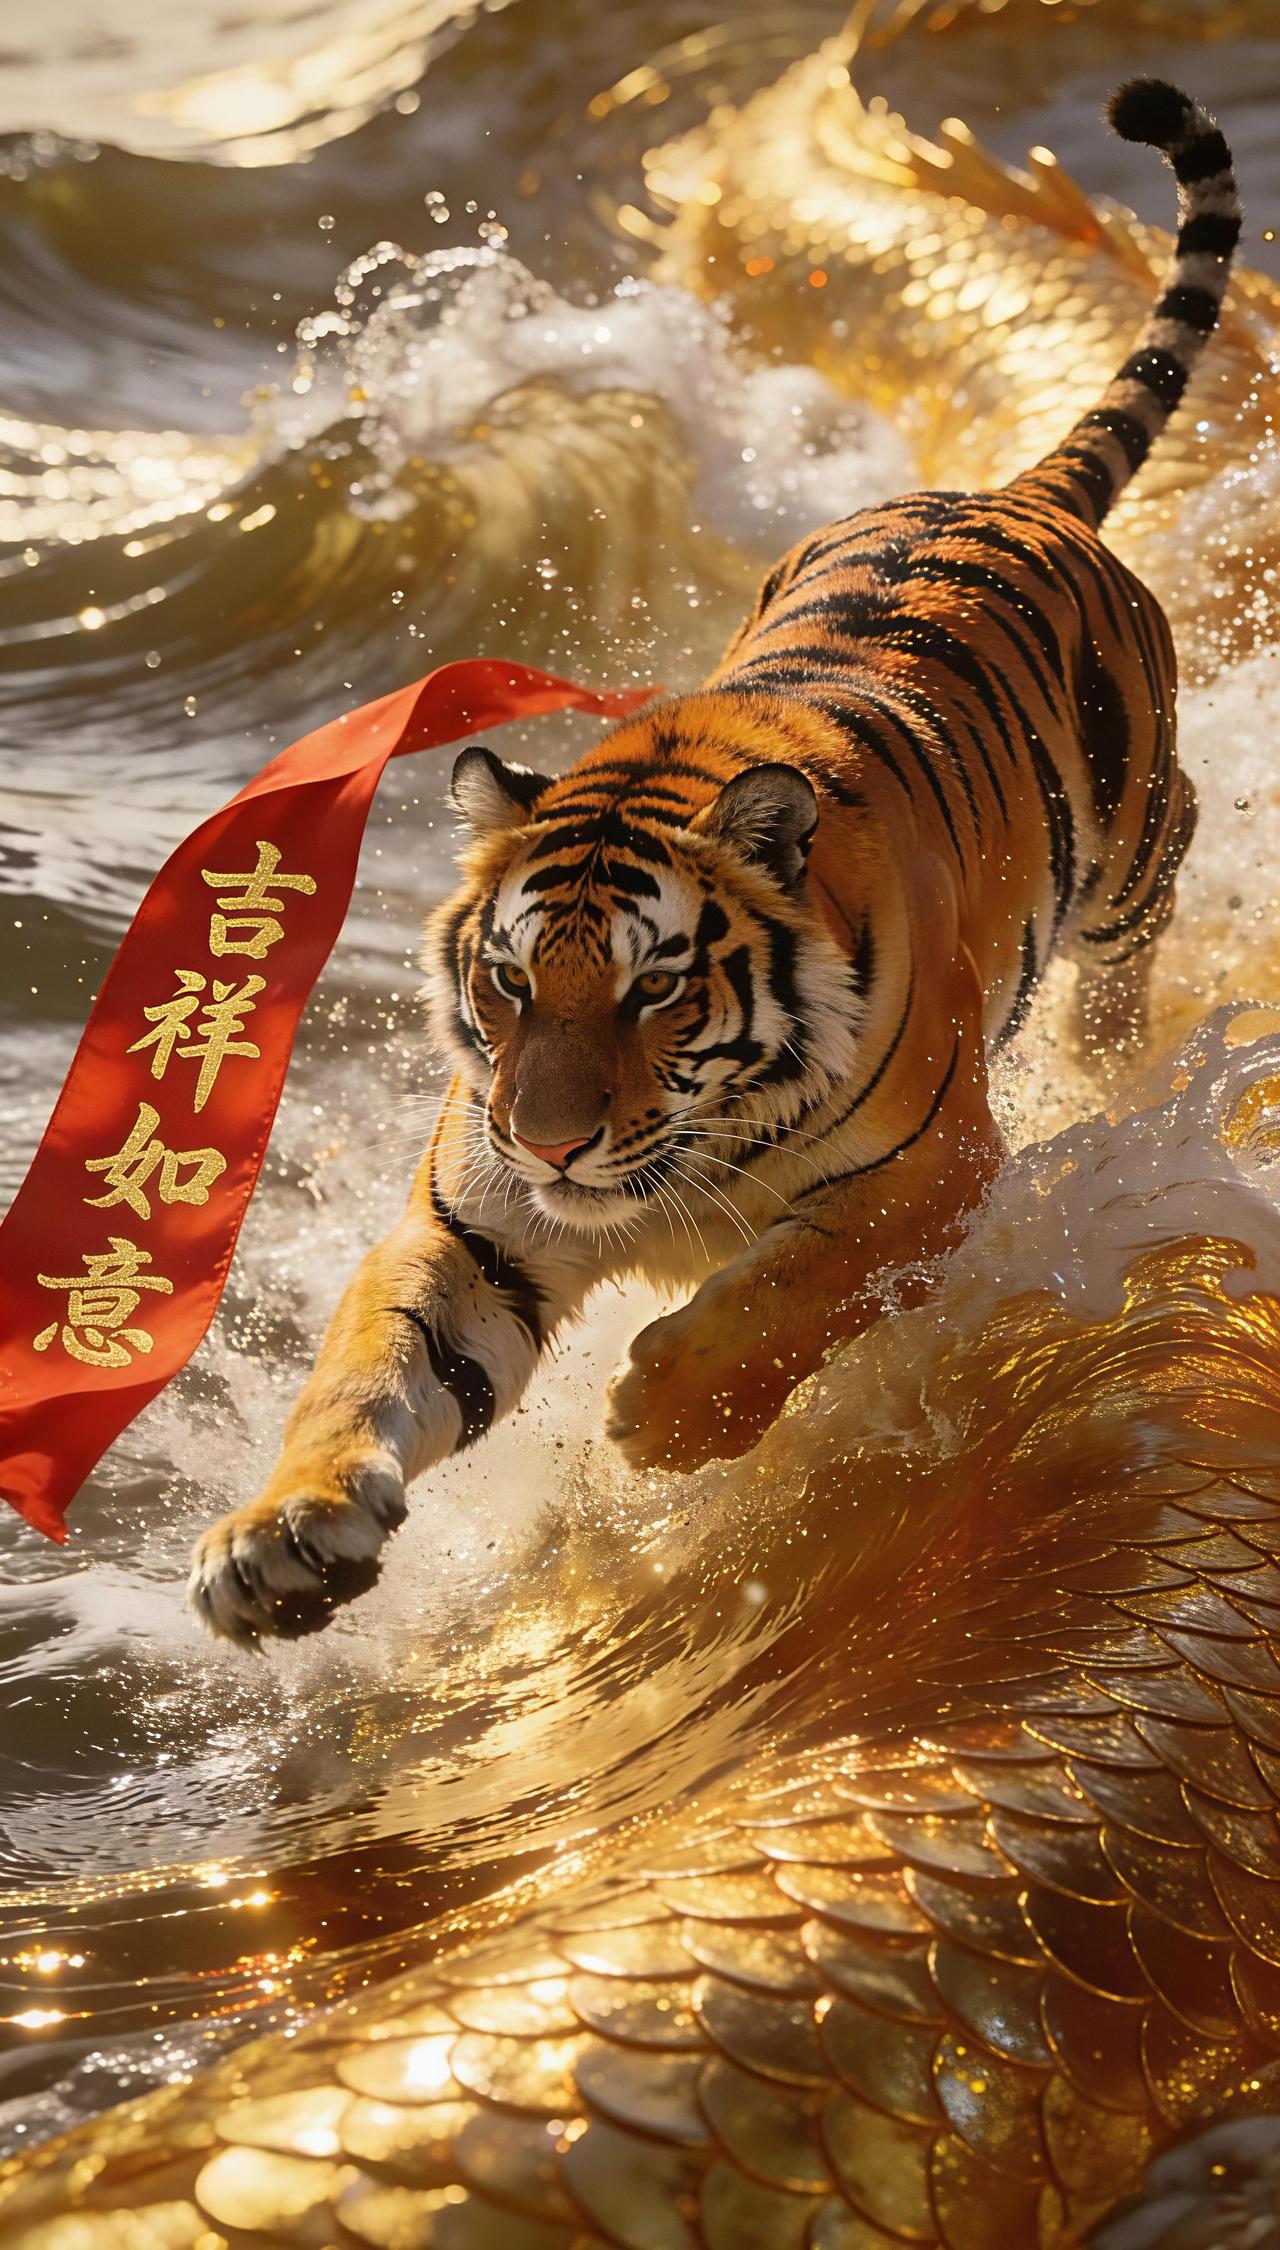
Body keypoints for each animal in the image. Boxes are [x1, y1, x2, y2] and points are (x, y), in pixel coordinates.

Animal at [191, 78, 1241, 1642]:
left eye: (655, 989)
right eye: (509, 985)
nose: (549, 1140)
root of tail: (1010, 494)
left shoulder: (936, 1170)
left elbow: (800, 1296)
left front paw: (660, 1421)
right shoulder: (471, 1225)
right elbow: (364, 1371)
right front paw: (278, 1544)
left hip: (1133, 842)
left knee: (1128, 949)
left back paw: (1115, 1060)